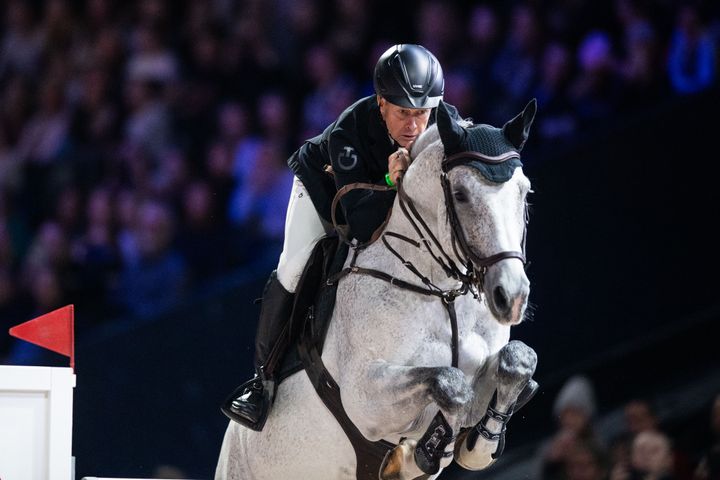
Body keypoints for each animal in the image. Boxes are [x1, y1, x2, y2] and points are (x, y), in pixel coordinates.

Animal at [217, 99, 536, 478]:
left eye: (524, 191)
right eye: (460, 195)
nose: (511, 297)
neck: (442, 293)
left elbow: (518, 361)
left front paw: (473, 445)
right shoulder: (366, 398)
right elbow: (450, 383)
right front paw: (430, 448)